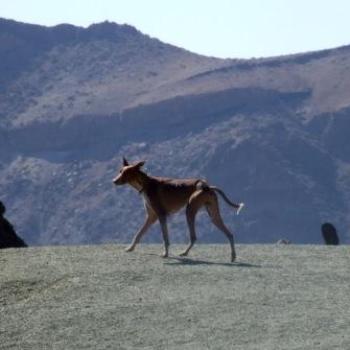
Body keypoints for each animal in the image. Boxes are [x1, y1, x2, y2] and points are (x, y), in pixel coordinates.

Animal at [113, 157, 245, 262]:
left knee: (194, 237)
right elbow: (139, 234)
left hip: (190, 211)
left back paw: (185, 252)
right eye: (120, 171)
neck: (146, 183)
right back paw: (233, 256)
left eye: (126, 173)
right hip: (213, 215)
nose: (114, 181)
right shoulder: (151, 217)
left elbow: (165, 238)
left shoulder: (161, 215)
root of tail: (207, 186)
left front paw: (165, 254)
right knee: (229, 234)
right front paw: (130, 248)